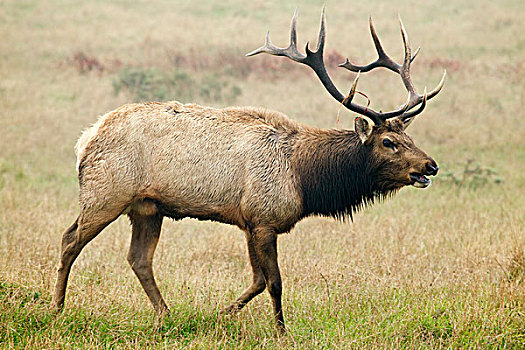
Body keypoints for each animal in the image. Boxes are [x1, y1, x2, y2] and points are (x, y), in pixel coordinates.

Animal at [52, 9, 446, 334]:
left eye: (409, 136)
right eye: (388, 142)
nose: (431, 165)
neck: (306, 180)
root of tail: (85, 139)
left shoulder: (249, 221)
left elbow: (257, 280)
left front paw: (220, 315)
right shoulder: (264, 218)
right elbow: (274, 282)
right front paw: (282, 331)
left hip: (147, 208)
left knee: (139, 259)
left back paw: (166, 314)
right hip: (105, 194)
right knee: (70, 239)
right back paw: (56, 309)